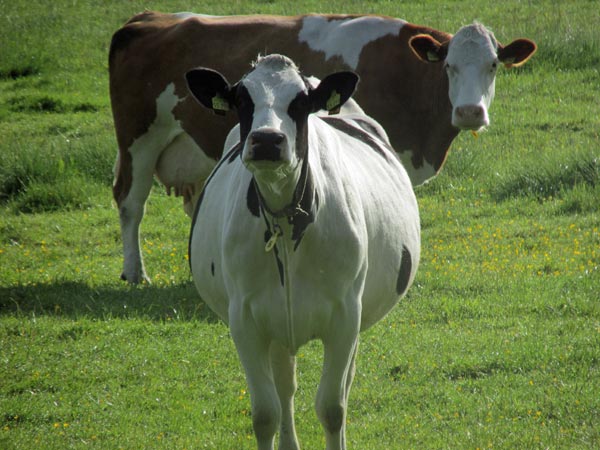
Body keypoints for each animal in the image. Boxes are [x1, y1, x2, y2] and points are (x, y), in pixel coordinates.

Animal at [108, 12, 536, 284]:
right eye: (449, 66)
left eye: (493, 65)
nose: (469, 112)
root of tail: (147, 19)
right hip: (138, 140)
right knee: (130, 202)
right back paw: (135, 272)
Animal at [189, 53, 422, 450]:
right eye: (242, 100)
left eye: (299, 103)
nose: (267, 139)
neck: (285, 219)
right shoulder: (244, 319)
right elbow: (265, 413)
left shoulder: (345, 314)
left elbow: (332, 407)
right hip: (277, 324)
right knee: (285, 386)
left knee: (341, 384)